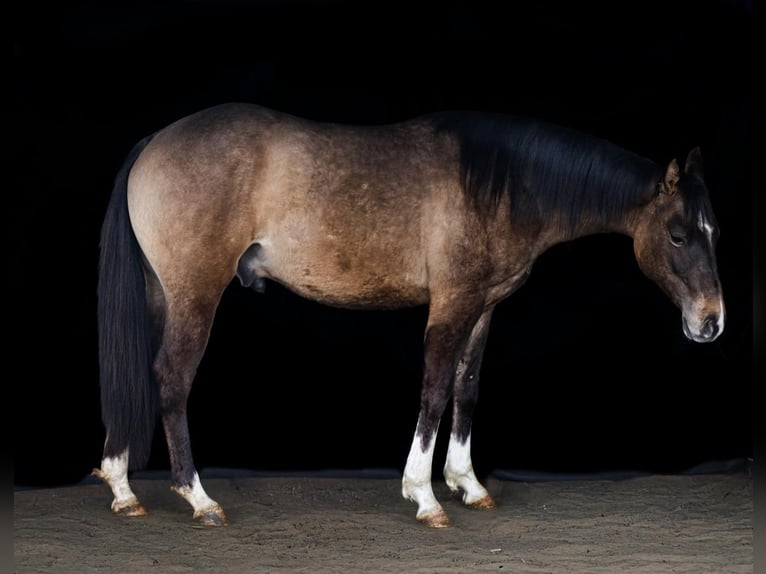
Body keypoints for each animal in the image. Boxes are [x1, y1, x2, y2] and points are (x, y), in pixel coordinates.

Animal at [93, 103, 724, 528]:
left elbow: (466, 389)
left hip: (161, 295)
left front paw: (467, 484)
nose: (711, 321)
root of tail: (154, 140)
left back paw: (124, 488)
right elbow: (435, 391)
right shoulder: (451, 305)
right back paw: (197, 498)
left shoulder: (483, 306)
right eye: (677, 235)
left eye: (713, 231)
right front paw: (423, 494)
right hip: (195, 295)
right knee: (172, 380)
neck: (501, 183)